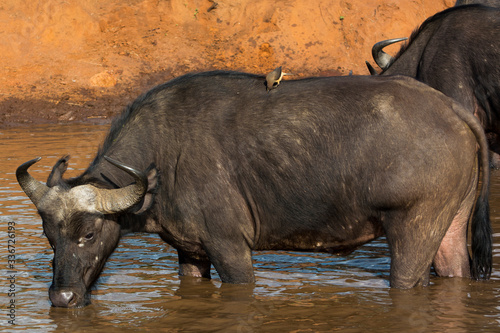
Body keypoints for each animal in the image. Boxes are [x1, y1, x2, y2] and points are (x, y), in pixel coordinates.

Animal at [16, 72, 492, 306]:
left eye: (89, 234)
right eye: (49, 237)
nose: (61, 298)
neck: (163, 159)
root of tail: (451, 109)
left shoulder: (232, 251)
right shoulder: (190, 253)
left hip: (413, 231)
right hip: (449, 229)